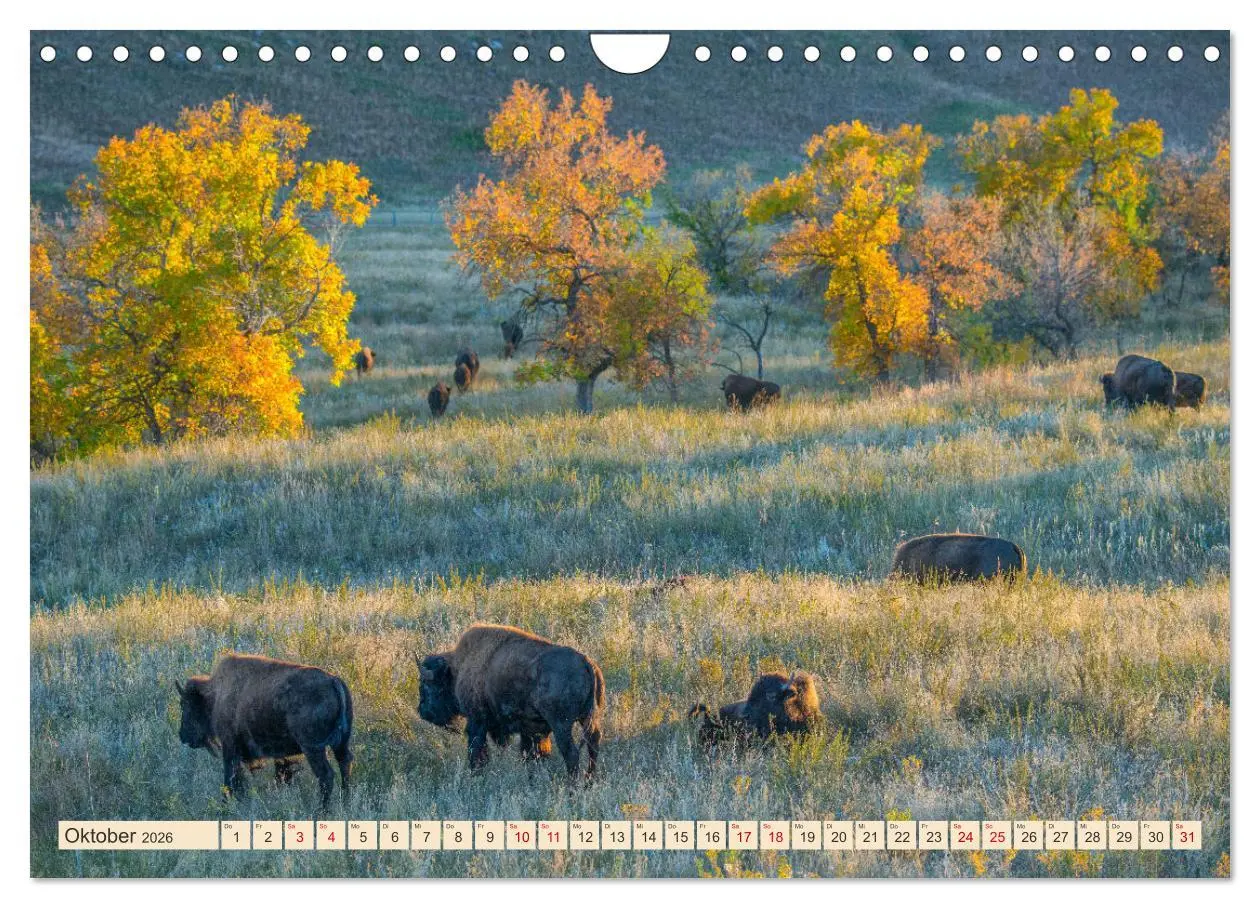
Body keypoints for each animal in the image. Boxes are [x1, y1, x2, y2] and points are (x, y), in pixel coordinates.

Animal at [175, 654, 353, 811]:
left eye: (185, 704)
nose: (183, 736)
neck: (216, 694)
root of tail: (334, 680)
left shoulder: (230, 746)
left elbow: (230, 778)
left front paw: (226, 804)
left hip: (312, 748)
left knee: (326, 775)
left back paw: (322, 811)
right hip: (341, 743)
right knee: (345, 763)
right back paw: (345, 803)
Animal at [416, 624, 604, 778]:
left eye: (426, 685)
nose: (422, 710)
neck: (457, 668)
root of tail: (586, 662)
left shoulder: (477, 721)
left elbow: (477, 751)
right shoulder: (529, 729)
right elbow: (531, 753)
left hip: (561, 724)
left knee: (571, 753)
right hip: (589, 718)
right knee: (593, 745)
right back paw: (589, 781)